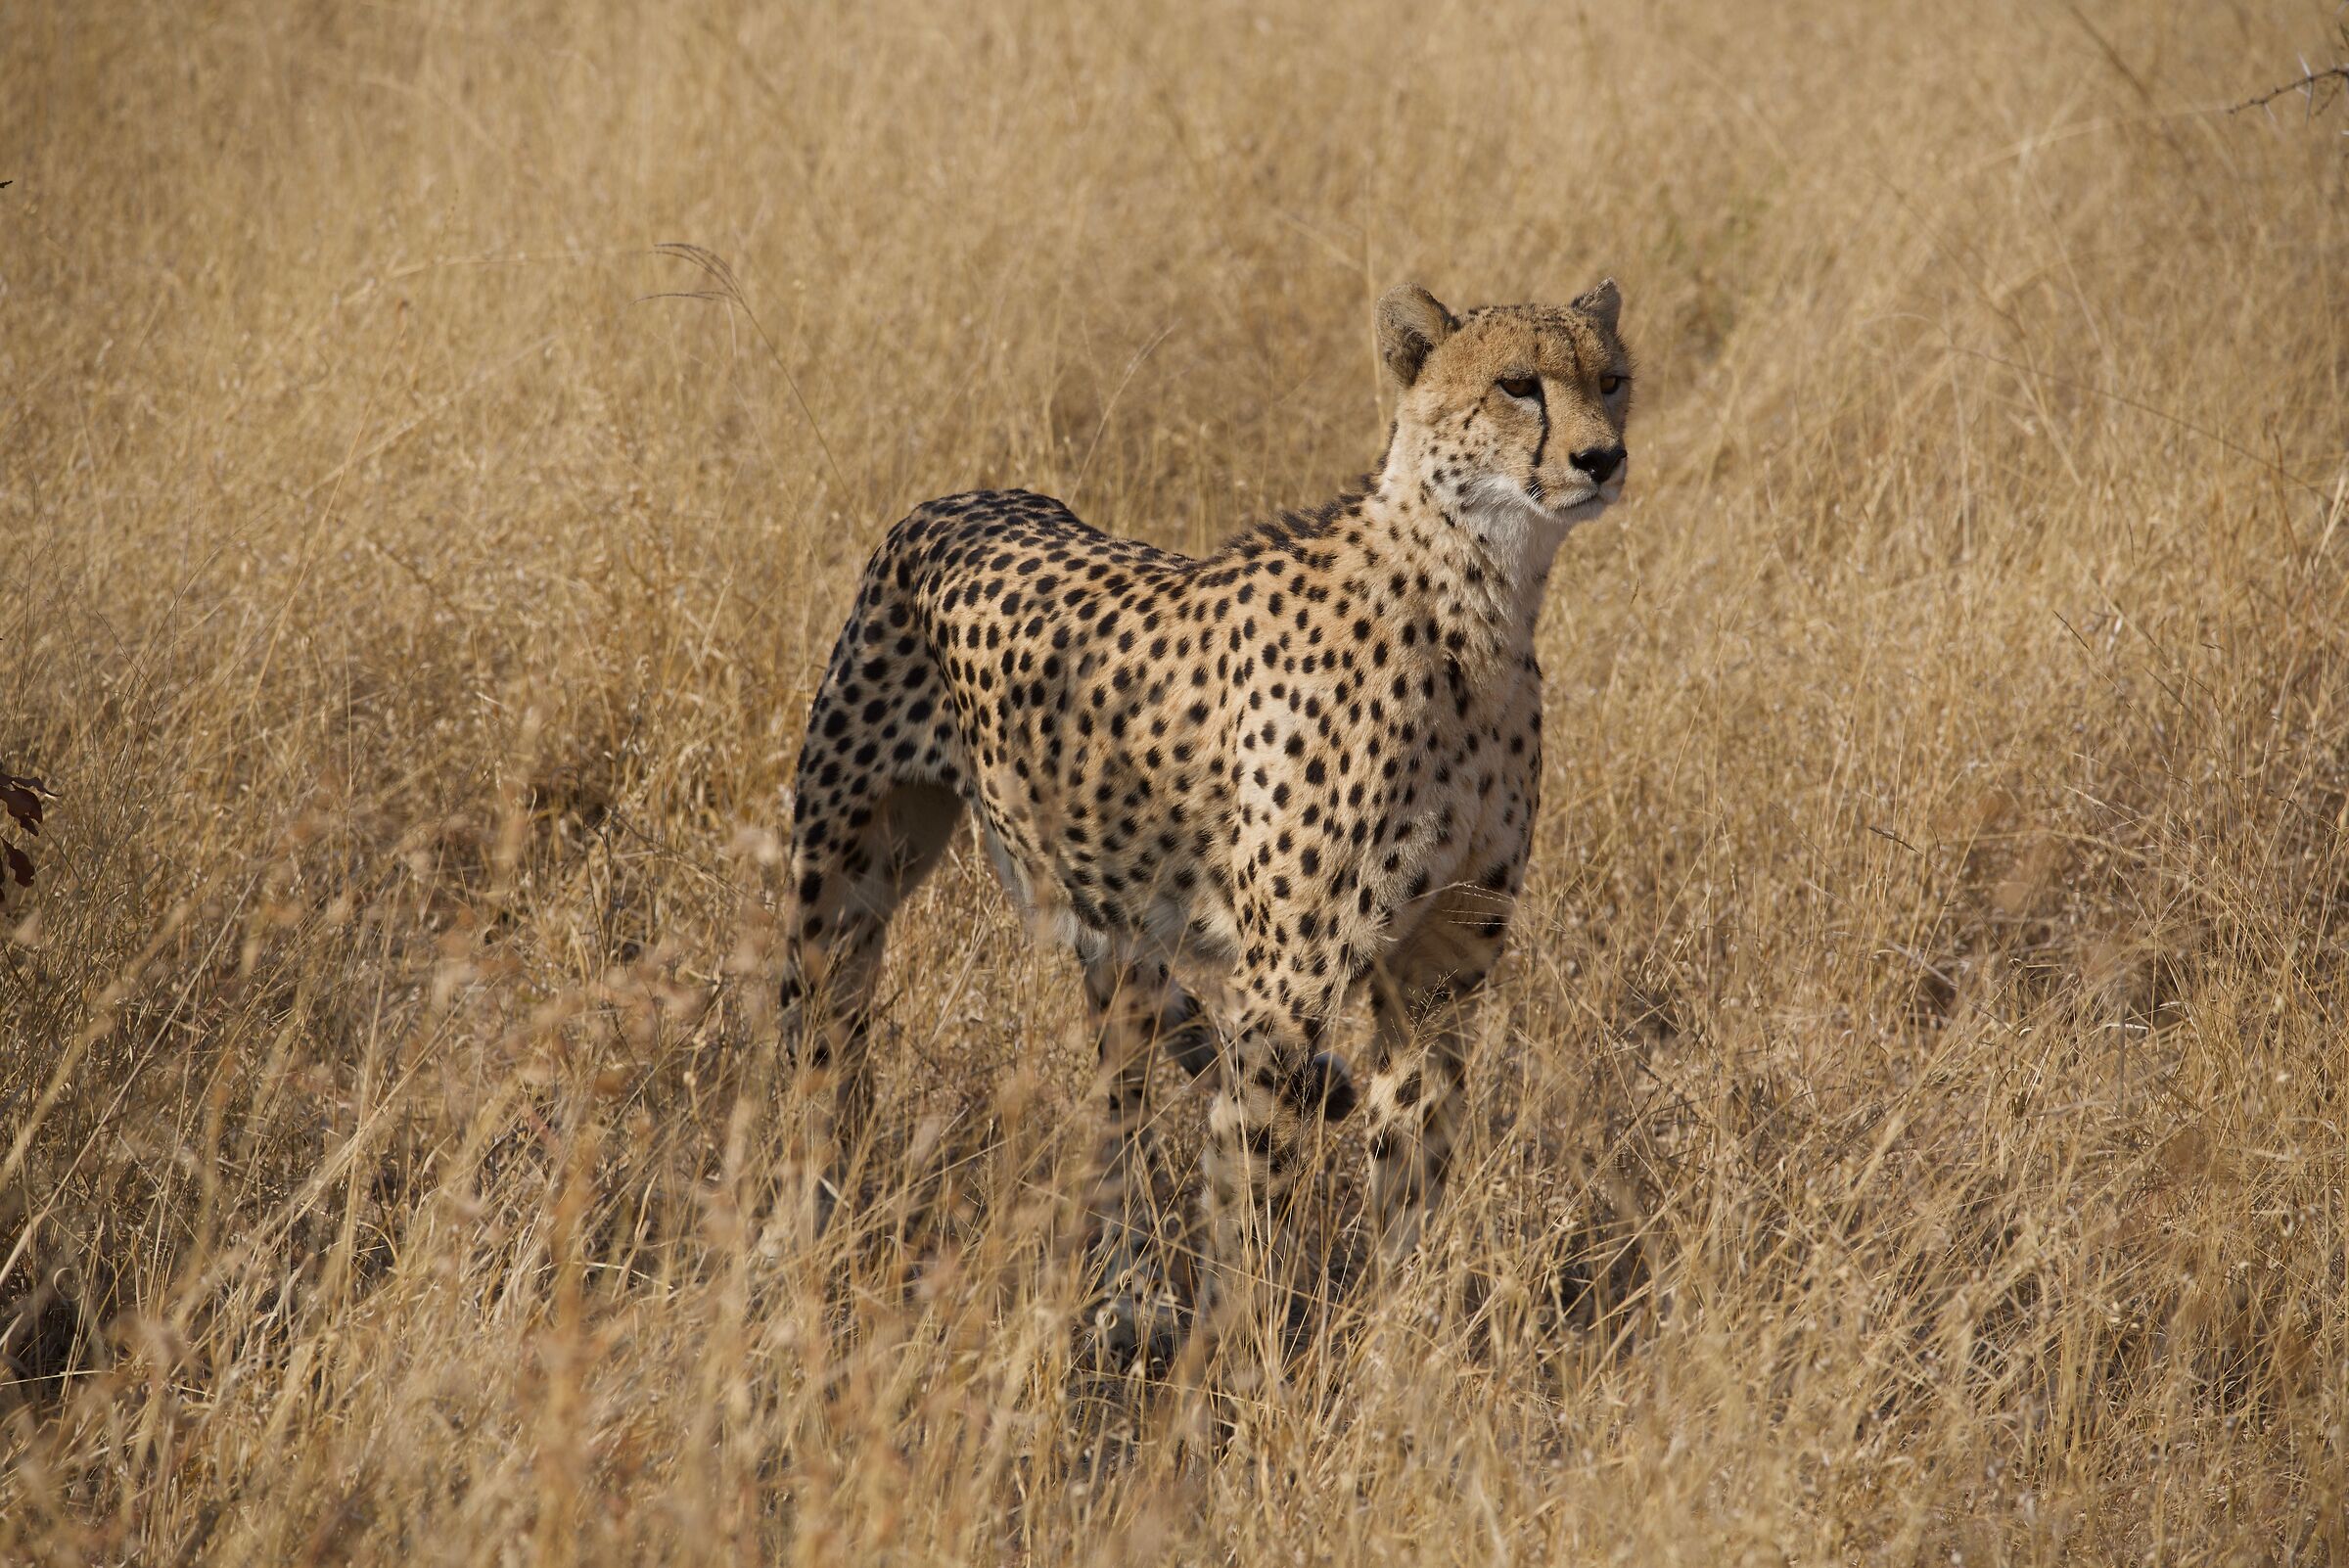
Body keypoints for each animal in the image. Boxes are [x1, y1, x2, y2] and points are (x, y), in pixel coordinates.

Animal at [777, 279, 1635, 1350]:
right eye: (1518, 384)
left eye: (1613, 379)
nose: (1603, 457)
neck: (1477, 600)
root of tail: (963, 498)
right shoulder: (1288, 984)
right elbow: (1250, 1184)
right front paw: (1240, 1357)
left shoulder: (1439, 969)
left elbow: (1411, 1161)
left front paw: (1406, 1333)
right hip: (843, 884)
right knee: (819, 1052)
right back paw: (804, 1242)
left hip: (1121, 940)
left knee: (1120, 1104)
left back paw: (1126, 1292)